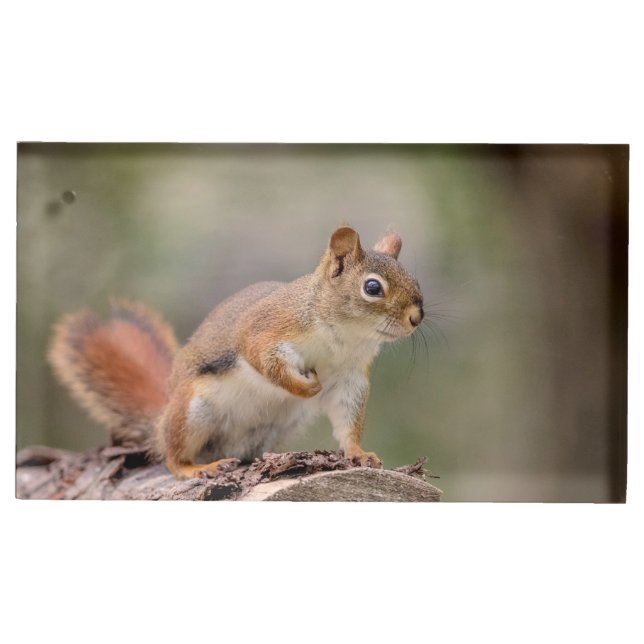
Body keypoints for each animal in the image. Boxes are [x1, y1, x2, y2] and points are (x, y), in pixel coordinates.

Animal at [48, 226, 425, 480]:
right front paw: (305, 387)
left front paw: (359, 454)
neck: (345, 337)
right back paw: (196, 468)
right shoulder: (266, 329)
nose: (416, 317)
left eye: (415, 281)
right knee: (172, 455)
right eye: (372, 287)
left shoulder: (350, 377)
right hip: (192, 411)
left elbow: (348, 420)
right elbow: (265, 361)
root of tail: (160, 420)